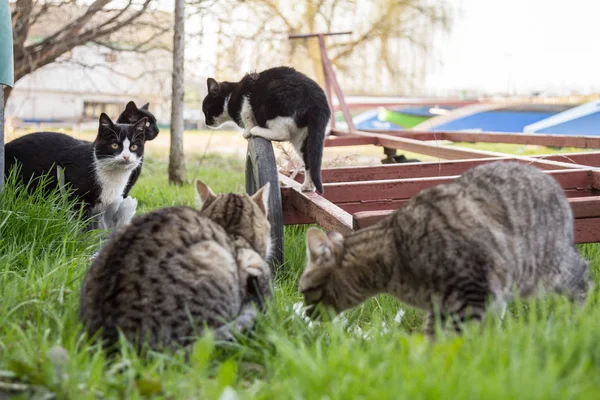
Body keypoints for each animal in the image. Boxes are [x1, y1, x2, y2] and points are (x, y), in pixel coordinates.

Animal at [204, 66, 330, 194]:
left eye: (206, 110)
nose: (206, 122)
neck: (230, 96)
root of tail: (319, 102)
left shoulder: (246, 100)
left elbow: (246, 115)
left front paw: (248, 131)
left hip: (272, 106)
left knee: (282, 134)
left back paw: (256, 130)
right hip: (303, 137)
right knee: (310, 160)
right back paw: (308, 186)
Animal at [298, 162, 588, 334]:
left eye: (304, 291)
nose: (307, 314)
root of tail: (549, 179)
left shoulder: (472, 293)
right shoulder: (442, 307)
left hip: (544, 267)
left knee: (582, 276)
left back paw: (577, 322)